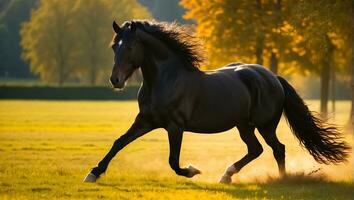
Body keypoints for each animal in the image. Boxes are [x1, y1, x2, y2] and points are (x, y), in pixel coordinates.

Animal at [84, 20, 350, 183]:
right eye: (113, 46)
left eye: (129, 46)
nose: (115, 80)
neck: (165, 79)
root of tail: (272, 77)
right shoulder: (145, 120)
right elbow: (119, 143)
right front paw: (93, 173)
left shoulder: (175, 126)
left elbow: (173, 161)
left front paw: (193, 170)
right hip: (244, 125)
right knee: (256, 149)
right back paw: (227, 175)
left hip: (265, 125)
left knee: (278, 149)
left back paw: (281, 179)